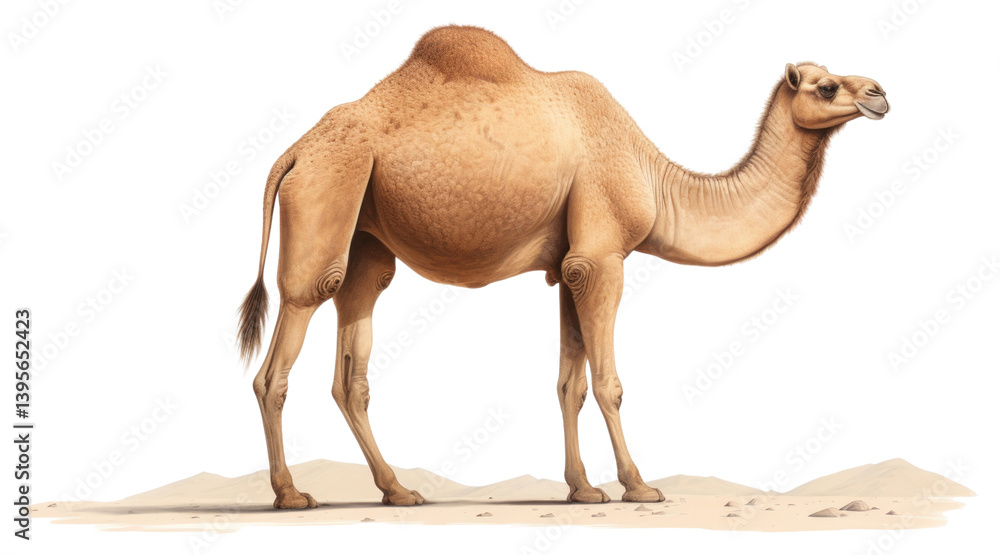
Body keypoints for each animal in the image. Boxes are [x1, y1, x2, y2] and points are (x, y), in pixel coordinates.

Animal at [237, 25, 888, 509]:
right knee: (289, 334)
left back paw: (398, 491)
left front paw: (582, 489)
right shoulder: (602, 257)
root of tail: (293, 152)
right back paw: (291, 495)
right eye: (827, 86)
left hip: (365, 229)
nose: (880, 92)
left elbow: (568, 384)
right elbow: (608, 383)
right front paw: (639, 486)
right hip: (330, 186)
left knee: (354, 346)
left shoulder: (567, 268)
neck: (654, 178)